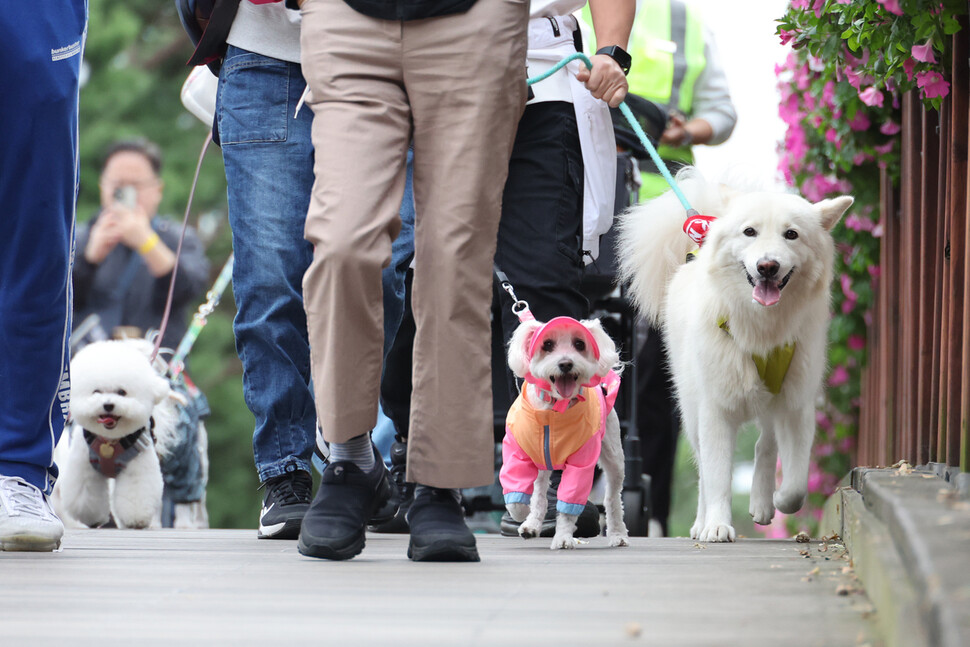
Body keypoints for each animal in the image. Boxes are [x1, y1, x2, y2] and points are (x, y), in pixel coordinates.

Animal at [53, 336, 182, 528]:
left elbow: (136, 491)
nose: (108, 405)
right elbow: (85, 493)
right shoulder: (84, 467)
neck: (110, 441)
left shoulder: (138, 466)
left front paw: (136, 519)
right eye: (96, 391)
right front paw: (91, 517)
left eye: (122, 392)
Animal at [500, 316, 628, 548]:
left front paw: (563, 538)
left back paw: (618, 534)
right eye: (547, 345)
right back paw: (532, 523)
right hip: (541, 463)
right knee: (540, 492)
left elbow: (569, 505)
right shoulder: (516, 452)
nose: (566, 363)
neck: (553, 409)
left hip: (614, 455)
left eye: (579, 344)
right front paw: (521, 513)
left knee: (613, 498)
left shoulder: (581, 463)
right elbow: (516, 496)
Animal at [616, 171, 852, 540]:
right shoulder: (715, 410)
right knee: (703, 470)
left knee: (765, 443)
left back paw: (763, 501)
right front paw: (716, 525)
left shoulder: (796, 405)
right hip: (691, 411)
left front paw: (779, 500)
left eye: (791, 234)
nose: (767, 266)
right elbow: (715, 478)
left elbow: (796, 484)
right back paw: (701, 523)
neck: (761, 329)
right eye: (749, 232)